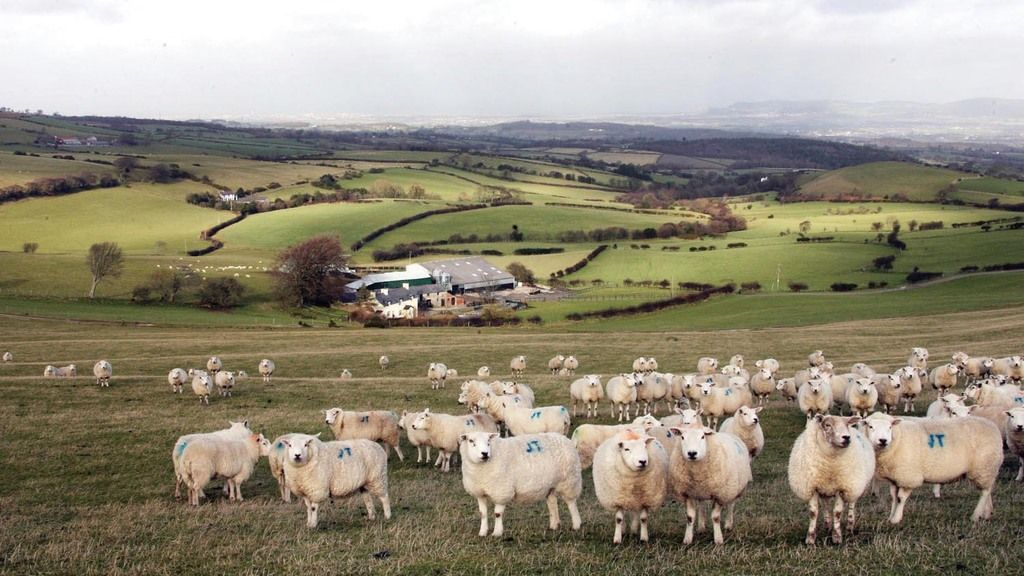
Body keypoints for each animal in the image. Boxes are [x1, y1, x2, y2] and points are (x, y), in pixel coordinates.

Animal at [786, 412, 876, 541]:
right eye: (827, 425)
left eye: (846, 424)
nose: (846, 437)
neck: (830, 462)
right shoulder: (812, 486)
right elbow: (813, 512)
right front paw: (810, 538)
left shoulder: (842, 487)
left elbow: (837, 512)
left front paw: (836, 537)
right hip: (825, 489)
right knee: (826, 506)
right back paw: (827, 526)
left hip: (854, 486)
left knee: (851, 506)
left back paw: (849, 527)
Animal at [860, 409, 1003, 522]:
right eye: (870, 426)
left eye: (890, 427)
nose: (883, 440)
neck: (898, 437)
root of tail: (993, 426)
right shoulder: (896, 477)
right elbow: (894, 498)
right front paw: (890, 517)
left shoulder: (908, 477)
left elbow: (900, 498)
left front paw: (896, 519)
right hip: (988, 469)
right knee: (989, 489)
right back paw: (987, 513)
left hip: (984, 466)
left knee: (984, 492)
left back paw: (976, 515)